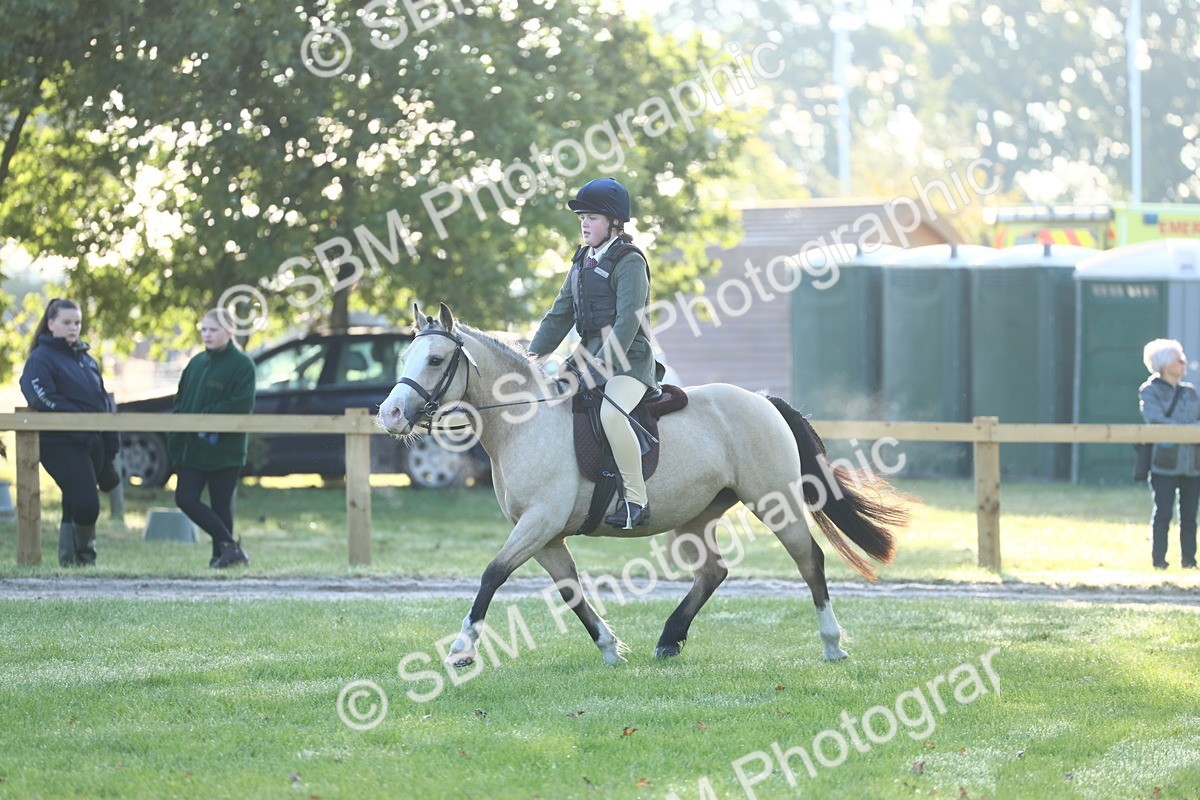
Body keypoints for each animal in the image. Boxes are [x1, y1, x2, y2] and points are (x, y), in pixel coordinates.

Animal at [377, 303, 909, 667]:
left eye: (436, 359)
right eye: (408, 356)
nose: (391, 414)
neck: (525, 421)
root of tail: (762, 400)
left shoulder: (539, 523)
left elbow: (492, 574)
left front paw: (462, 649)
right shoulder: (546, 536)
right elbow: (570, 591)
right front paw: (610, 648)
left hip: (773, 503)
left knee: (809, 559)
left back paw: (832, 644)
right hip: (696, 517)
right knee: (712, 572)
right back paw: (669, 639)